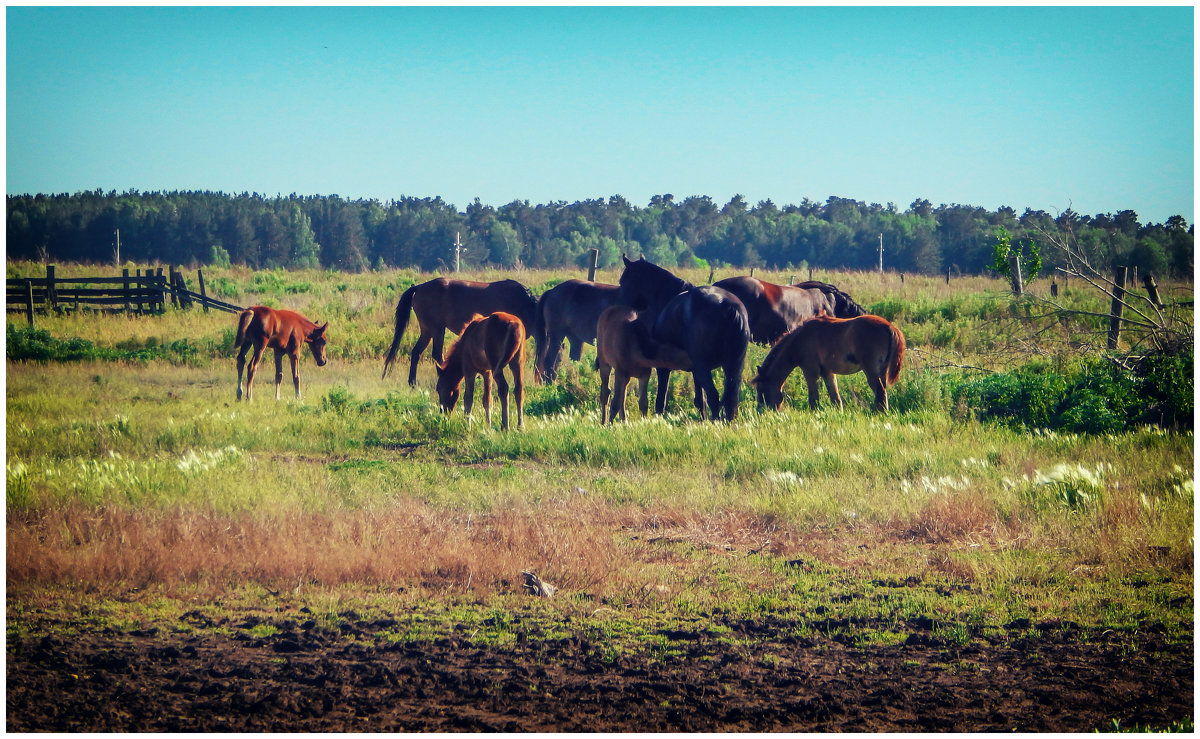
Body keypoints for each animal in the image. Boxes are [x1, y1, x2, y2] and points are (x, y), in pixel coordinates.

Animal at [381, 277, 537, 386]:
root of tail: (418, 287)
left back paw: (412, 382)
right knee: (437, 354)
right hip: (437, 328)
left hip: (427, 331)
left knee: (416, 352)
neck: (524, 304)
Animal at [619, 255, 748, 422]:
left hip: (704, 365)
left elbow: (661, 399)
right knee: (730, 398)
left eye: (622, 282)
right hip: (730, 366)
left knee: (714, 396)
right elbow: (700, 400)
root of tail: (727, 306)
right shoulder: (695, 370)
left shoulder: (664, 367)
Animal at [744, 314, 902, 412]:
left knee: (880, 391)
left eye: (762, 390)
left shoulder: (810, 372)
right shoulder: (828, 373)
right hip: (881, 372)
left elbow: (813, 398)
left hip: (871, 371)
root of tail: (889, 326)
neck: (799, 339)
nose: (761, 412)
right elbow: (835, 398)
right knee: (882, 392)